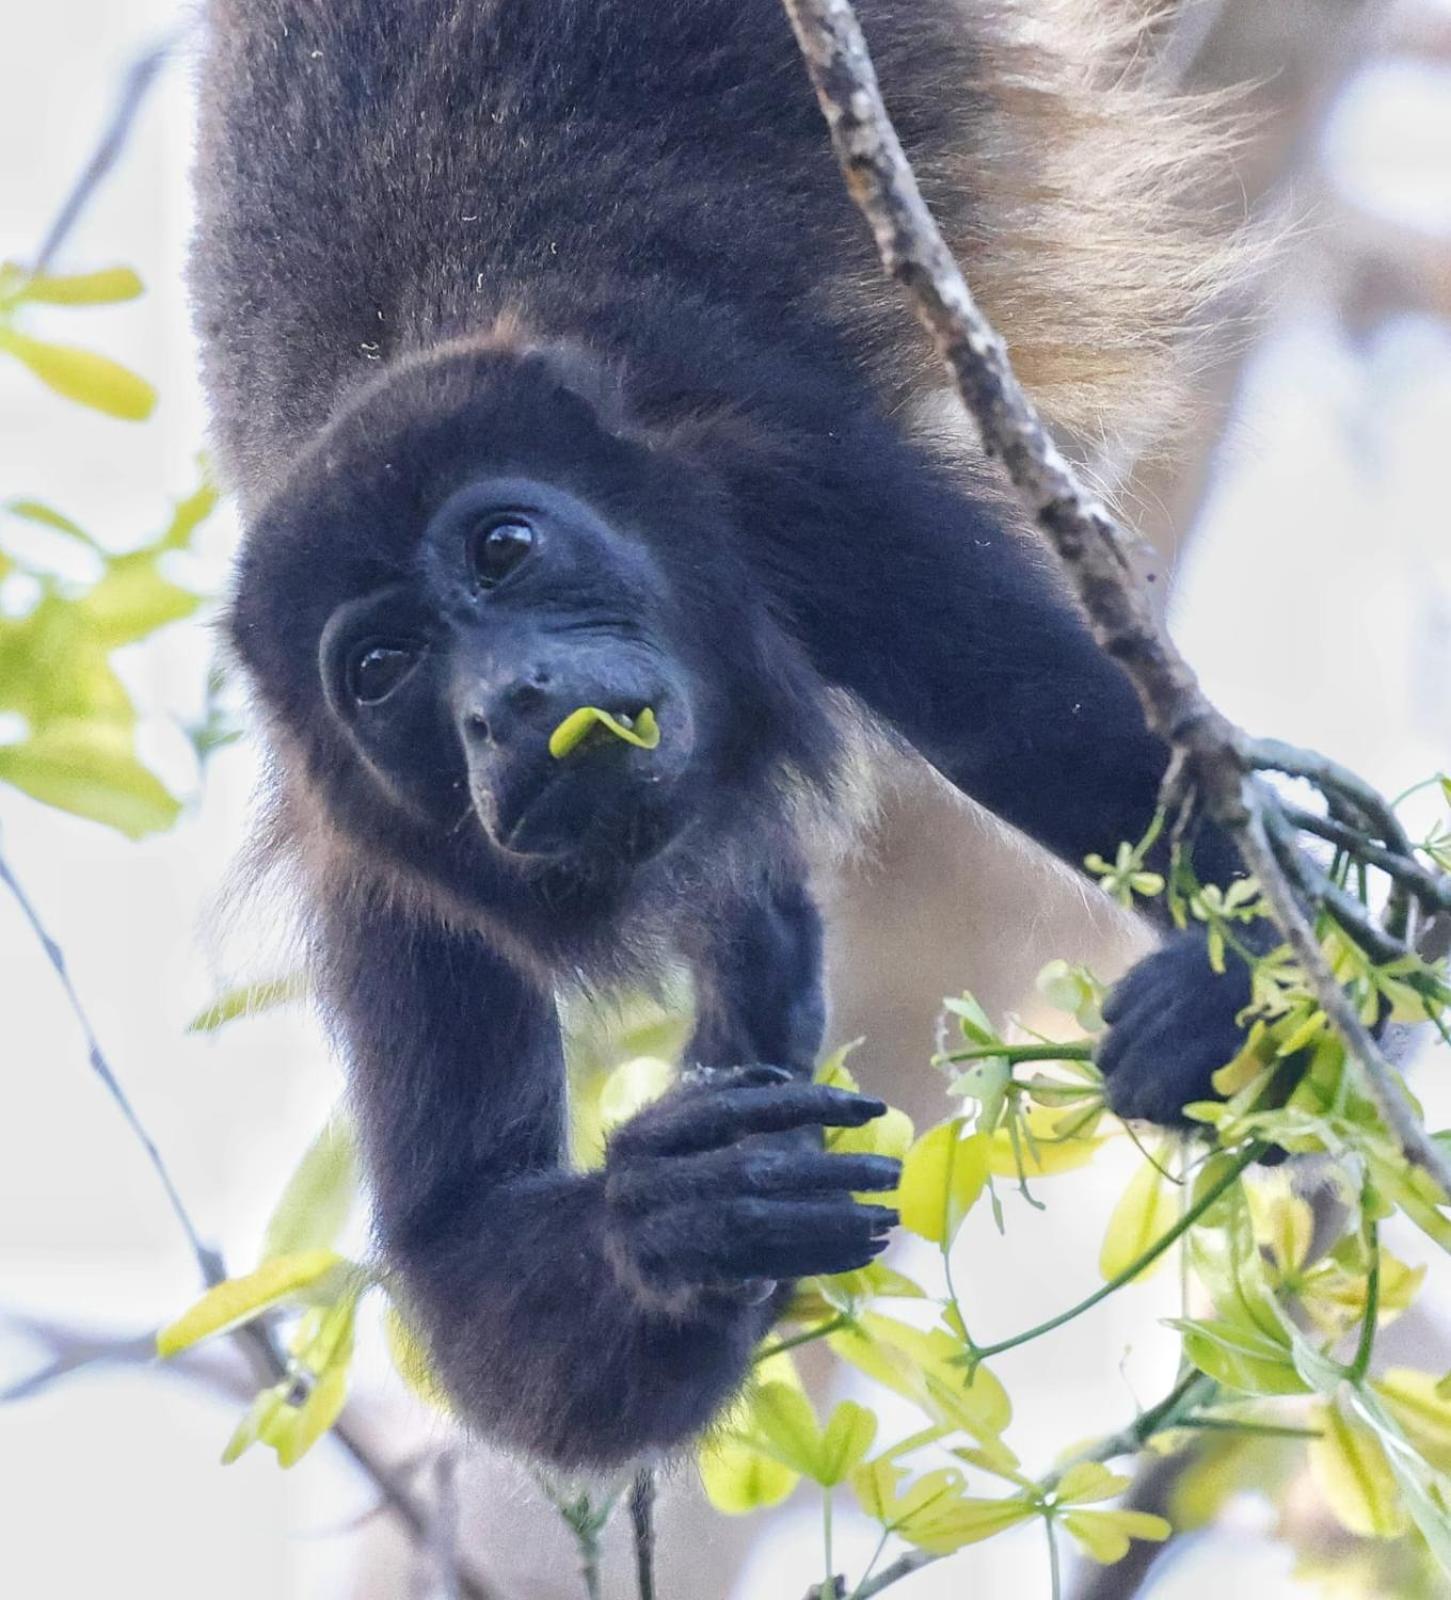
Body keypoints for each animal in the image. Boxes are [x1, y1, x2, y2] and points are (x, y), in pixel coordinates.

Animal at [195, 0, 1247, 1465]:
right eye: (382, 669)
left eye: (504, 547)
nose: (502, 703)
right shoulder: (362, 850)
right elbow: (462, 1252)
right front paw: (683, 1204)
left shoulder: (789, 477)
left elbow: (1101, 759)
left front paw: (1227, 1003)